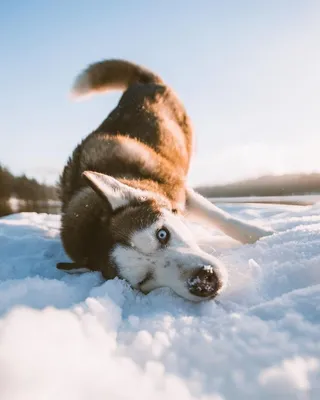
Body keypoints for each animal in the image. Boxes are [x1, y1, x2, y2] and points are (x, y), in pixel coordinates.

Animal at [58, 59, 272, 302]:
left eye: (162, 234)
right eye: (144, 280)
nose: (203, 281)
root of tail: (141, 83)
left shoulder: (176, 190)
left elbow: (223, 218)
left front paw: (264, 235)